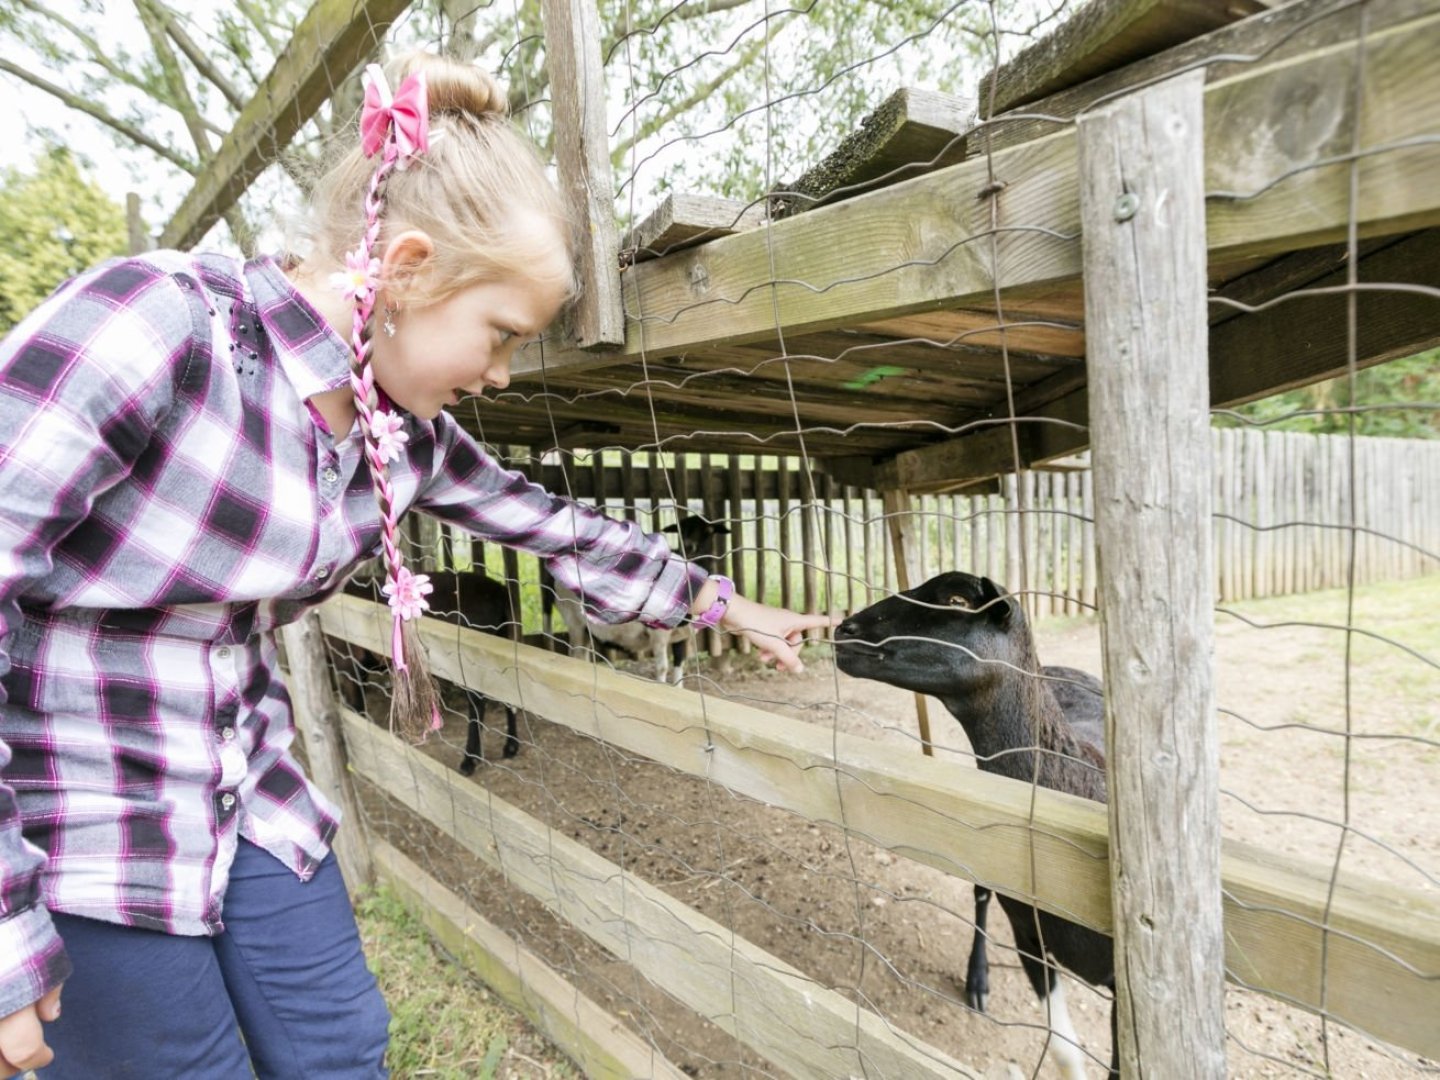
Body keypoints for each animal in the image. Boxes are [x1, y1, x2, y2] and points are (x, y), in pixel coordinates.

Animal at [334, 570, 521, 771]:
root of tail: (500, 591)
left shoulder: (346, 661)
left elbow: (356, 707)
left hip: (469, 658)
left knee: (477, 703)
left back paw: (469, 760)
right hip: (499, 647)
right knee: (507, 693)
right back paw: (510, 747)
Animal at [835, 570, 1111, 1077]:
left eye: (958, 601)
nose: (845, 629)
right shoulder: (1028, 938)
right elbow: (1064, 1050)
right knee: (981, 890)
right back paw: (977, 980)